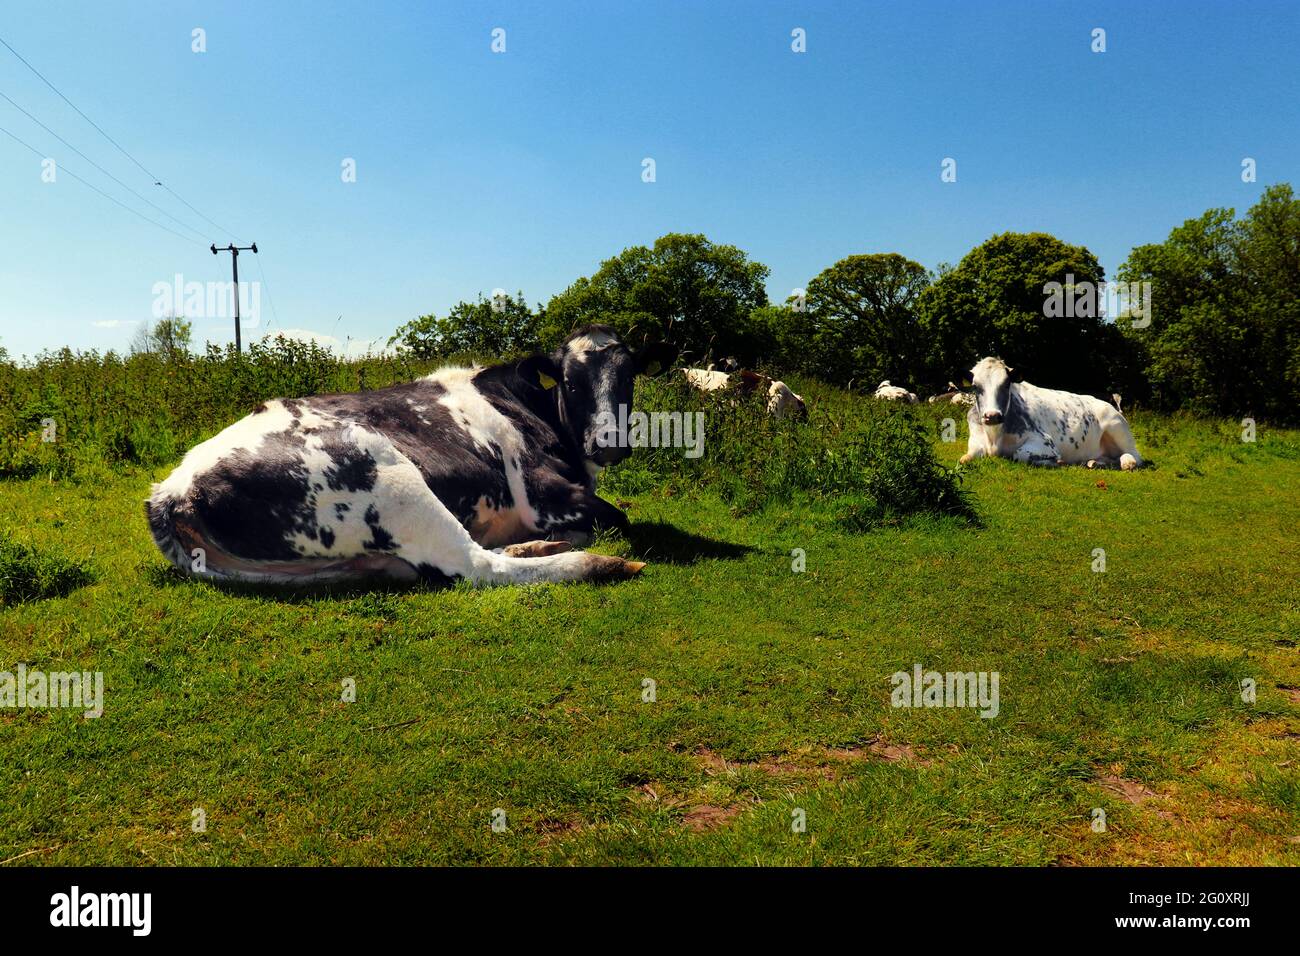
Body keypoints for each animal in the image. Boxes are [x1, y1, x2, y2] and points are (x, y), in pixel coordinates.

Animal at [149, 325, 681, 587]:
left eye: (629, 376)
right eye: (570, 381)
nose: (609, 442)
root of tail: (172, 489)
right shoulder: (543, 495)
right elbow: (619, 517)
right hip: (391, 481)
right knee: (477, 565)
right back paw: (596, 563)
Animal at [961, 356, 1144, 470]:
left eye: (1007, 384)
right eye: (975, 386)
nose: (992, 416)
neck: (994, 438)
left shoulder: (1046, 442)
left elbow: (1019, 454)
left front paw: (1056, 462)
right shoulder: (976, 439)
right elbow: (967, 457)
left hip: (1117, 428)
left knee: (1135, 456)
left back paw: (1127, 462)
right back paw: (1094, 463)